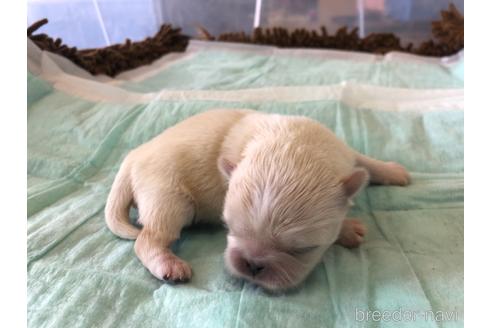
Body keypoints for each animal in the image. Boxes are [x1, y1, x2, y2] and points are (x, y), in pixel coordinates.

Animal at [105, 109, 410, 290]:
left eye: (302, 249)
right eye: (229, 229)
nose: (252, 264)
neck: (292, 146)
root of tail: (132, 156)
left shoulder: (343, 153)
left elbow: (365, 162)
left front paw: (392, 171)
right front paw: (348, 229)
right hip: (168, 198)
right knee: (148, 239)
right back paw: (168, 265)